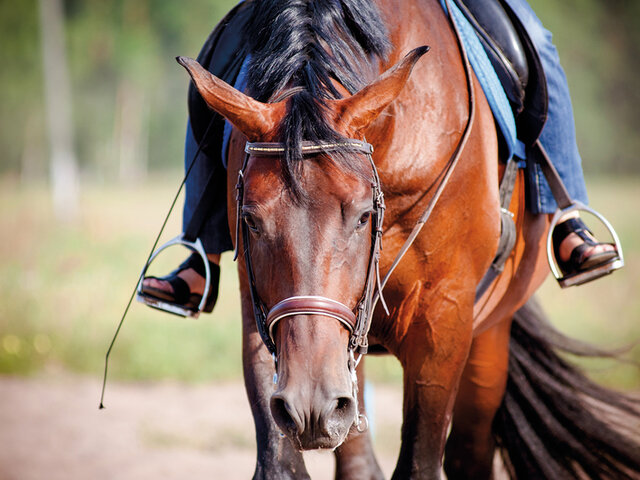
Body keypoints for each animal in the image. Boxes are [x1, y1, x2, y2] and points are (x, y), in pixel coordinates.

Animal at [176, 1, 640, 478]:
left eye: (364, 215)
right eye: (250, 220)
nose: (308, 405)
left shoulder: (444, 321)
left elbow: (420, 461)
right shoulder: (265, 320)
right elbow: (280, 462)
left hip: (487, 337)